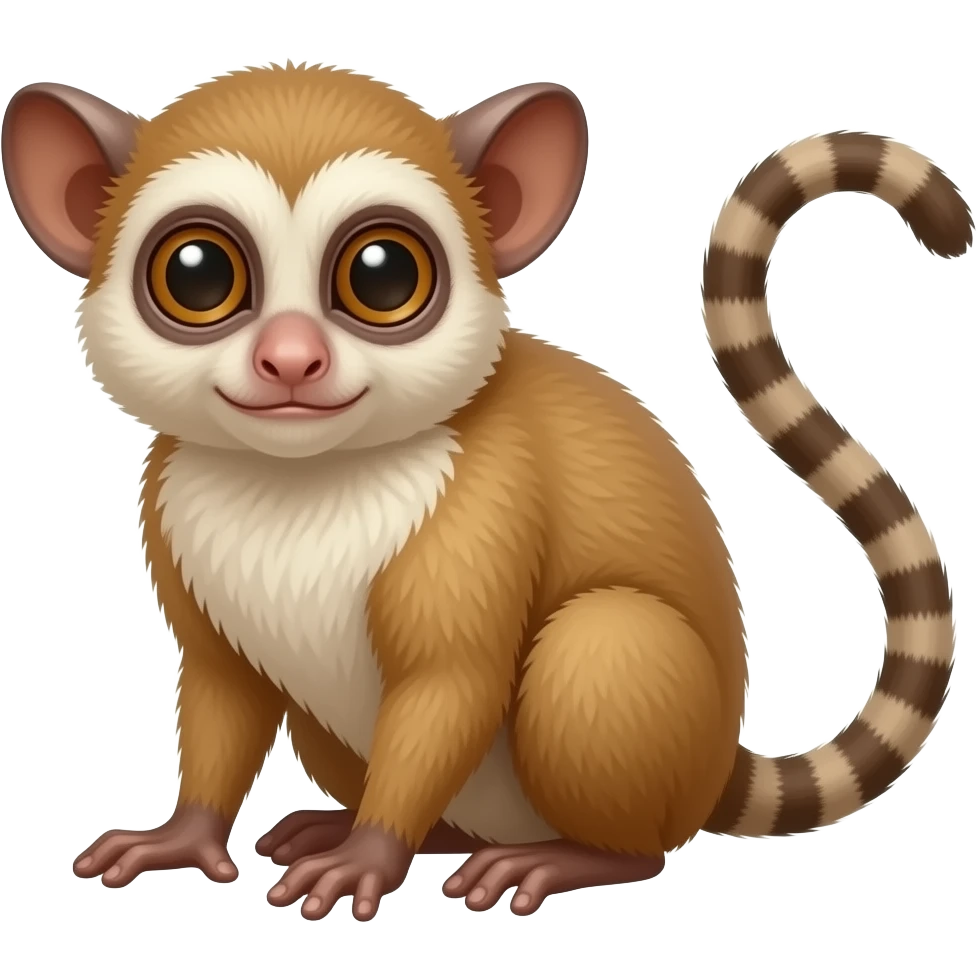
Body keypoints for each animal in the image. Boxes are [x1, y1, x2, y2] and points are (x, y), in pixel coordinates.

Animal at [3, 65, 969, 922]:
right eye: (197, 275)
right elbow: (222, 681)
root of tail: (711, 773)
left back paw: (575, 856)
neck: (302, 476)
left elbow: (452, 680)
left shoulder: (485, 504)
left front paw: (370, 856)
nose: (290, 361)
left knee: (603, 647)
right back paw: (383, 828)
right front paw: (188, 833)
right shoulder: (170, 509)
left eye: (383, 275)